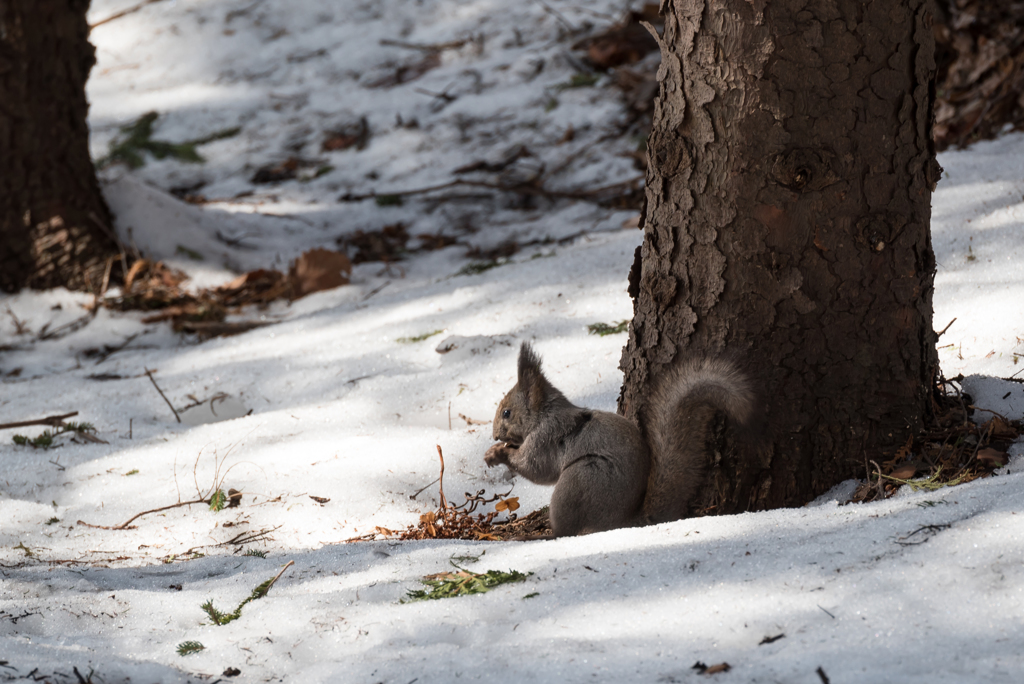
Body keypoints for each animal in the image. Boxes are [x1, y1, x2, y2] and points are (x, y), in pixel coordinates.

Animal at [483, 344, 757, 536]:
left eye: (507, 413)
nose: (495, 435)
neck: (543, 414)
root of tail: (626, 521)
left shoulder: (546, 437)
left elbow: (536, 468)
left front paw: (497, 453)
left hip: (580, 479)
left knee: (568, 531)